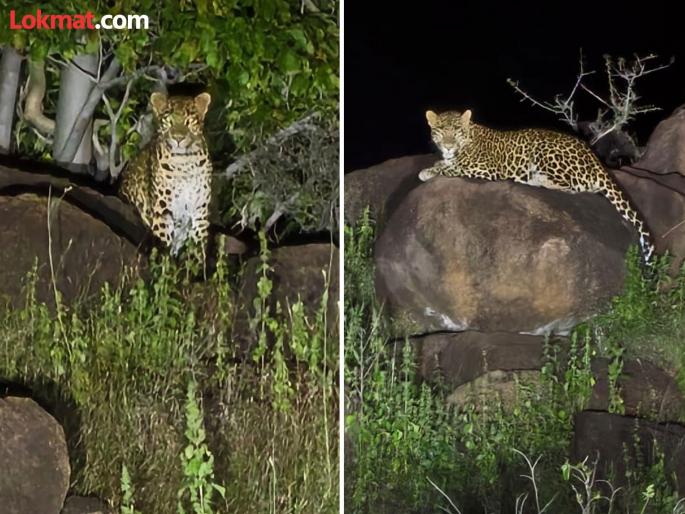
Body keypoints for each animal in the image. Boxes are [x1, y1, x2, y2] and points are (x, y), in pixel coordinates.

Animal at [119, 91, 213, 258]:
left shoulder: (200, 210)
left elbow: (198, 247)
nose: (178, 138)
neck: (185, 163)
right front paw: (163, 263)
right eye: (169, 121)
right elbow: (163, 242)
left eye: (189, 122)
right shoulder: (163, 209)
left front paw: (198, 263)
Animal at [419, 109, 655, 263]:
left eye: (457, 131)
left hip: (547, 152)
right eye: (440, 131)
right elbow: (445, 164)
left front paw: (428, 171)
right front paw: (438, 162)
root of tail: (596, 160)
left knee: (574, 187)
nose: (448, 146)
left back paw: (535, 179)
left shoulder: (485, 169)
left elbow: (451, 169)